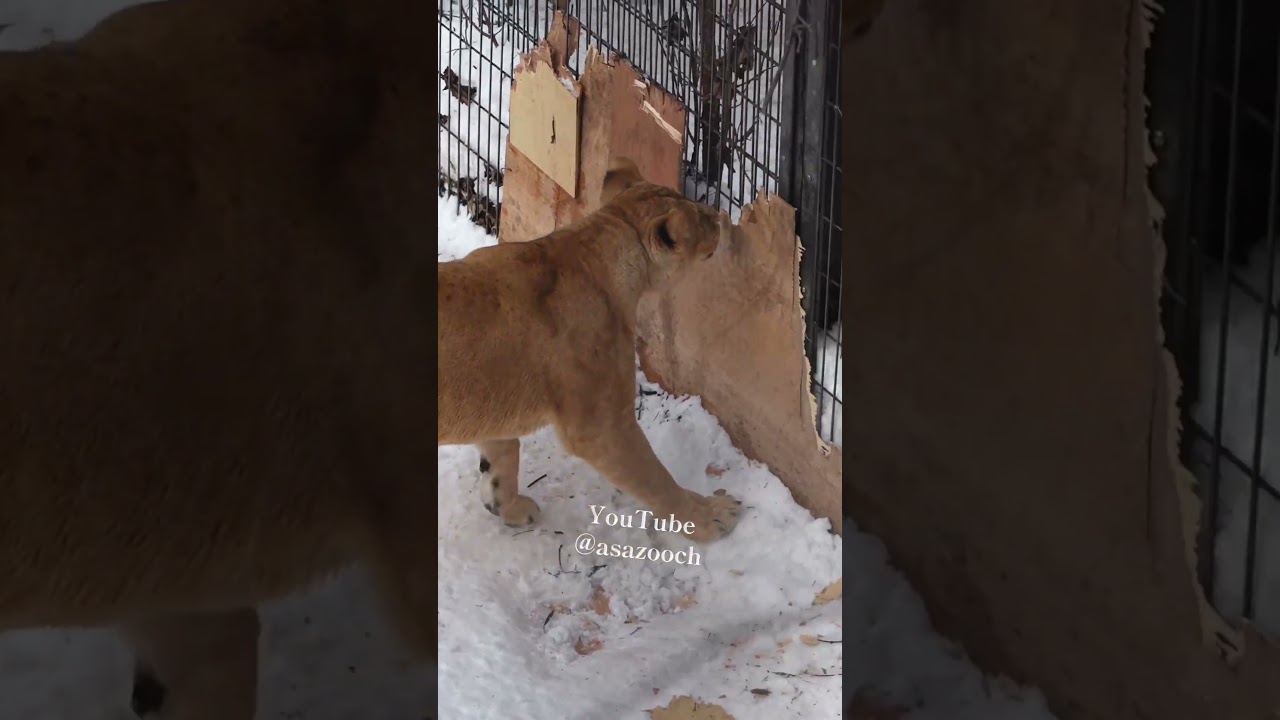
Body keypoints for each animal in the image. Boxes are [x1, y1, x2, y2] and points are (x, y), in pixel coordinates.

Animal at [438, 158, 743, 544]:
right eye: (699, 218)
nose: (719, 216)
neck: (591, 249)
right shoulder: (600, 425)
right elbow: (656, 480)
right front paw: (707, 517)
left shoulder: (494, 406)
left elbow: (503, 457)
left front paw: (508, 508)